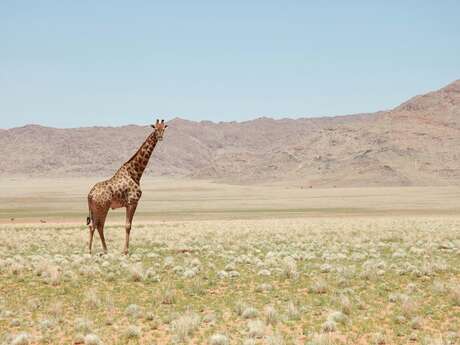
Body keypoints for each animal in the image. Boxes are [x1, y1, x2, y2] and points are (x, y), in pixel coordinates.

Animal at [86, 119, 167, 254]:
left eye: (164, 128)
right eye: (155, 129)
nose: (160, 137)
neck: (135, 173)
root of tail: (90, 195)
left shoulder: (129, 204)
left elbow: (127, 225)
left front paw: (125, 250)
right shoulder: (132, 202)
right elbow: (128, 225)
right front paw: (125, 251)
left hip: (95, 209)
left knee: (95, 225)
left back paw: (99, 250)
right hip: (102, 208)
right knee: (97, 225)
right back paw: (94, 250)